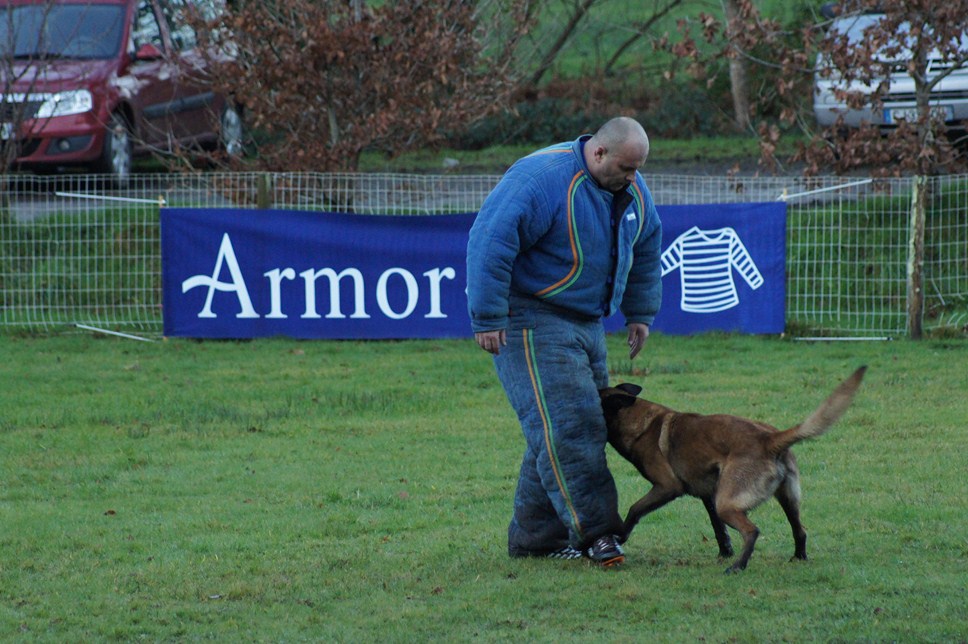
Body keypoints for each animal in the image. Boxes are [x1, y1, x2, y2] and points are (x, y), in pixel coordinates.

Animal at [600, 368, 864, 572]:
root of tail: (769, 439)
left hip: (728, 503)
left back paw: (738, 566)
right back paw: (798, 557)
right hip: (786, 499)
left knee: (752, 531)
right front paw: (724, 550)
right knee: (800, 530)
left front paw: (620, 535)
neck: (640, 422)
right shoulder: (709, 495)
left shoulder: (667, 487)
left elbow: (635, 509)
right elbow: (718, 527)